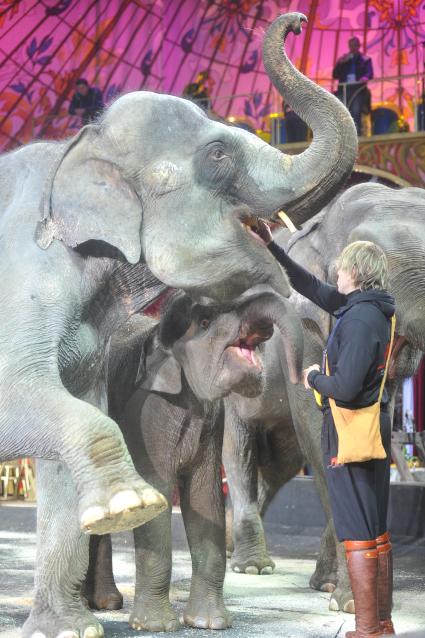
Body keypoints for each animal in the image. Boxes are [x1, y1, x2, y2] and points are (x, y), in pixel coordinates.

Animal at [84, 290, 302, 636]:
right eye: (205, 322)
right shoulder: (144, 418)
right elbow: (158, 496)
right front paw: (157, 627)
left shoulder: (212, 422)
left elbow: (206, 498)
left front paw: (210, 623)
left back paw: (106, 603)